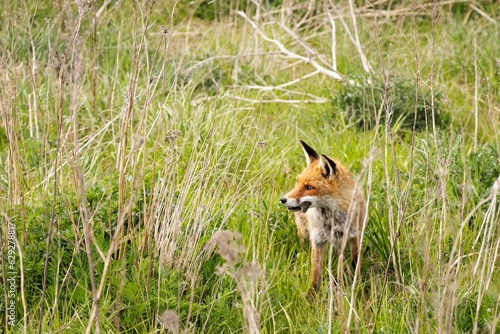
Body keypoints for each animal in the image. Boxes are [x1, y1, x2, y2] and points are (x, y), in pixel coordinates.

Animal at [280, 140, 366, 294]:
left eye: (309, 187)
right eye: (297, 182)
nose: (283, 199)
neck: (331, 219)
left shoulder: (354, 235)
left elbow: (354, 263)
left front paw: (358, 288)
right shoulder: (317, 240)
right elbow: (316, 276)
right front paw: (313, 297)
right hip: (304, 233)